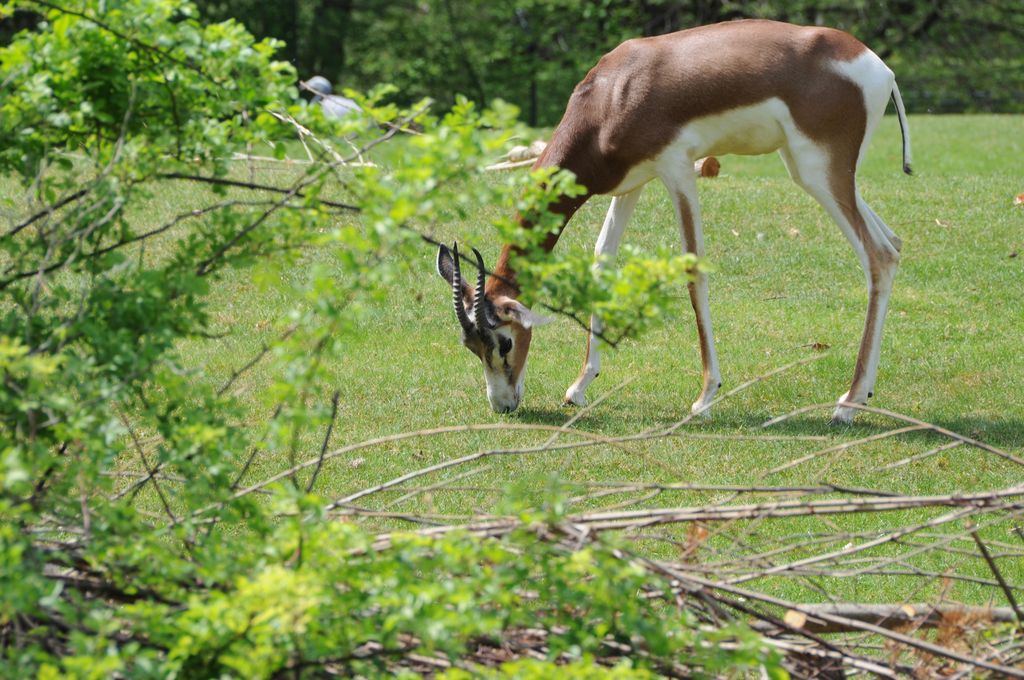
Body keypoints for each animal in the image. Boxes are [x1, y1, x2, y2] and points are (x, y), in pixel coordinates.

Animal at [436, 19, 911, 422]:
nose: (503, 405)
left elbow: (692, 271)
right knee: (894, 242)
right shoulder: (631, 184)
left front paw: (704, 398)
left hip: (819, 171)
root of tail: (880, 67)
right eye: (469, 346)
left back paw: (847, 404)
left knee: (878, 255)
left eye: (504, 341)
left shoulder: (677, 169)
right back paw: (863, 394)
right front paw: (579, 388)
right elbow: (602, 260)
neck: (615, 93)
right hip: (813, 170)